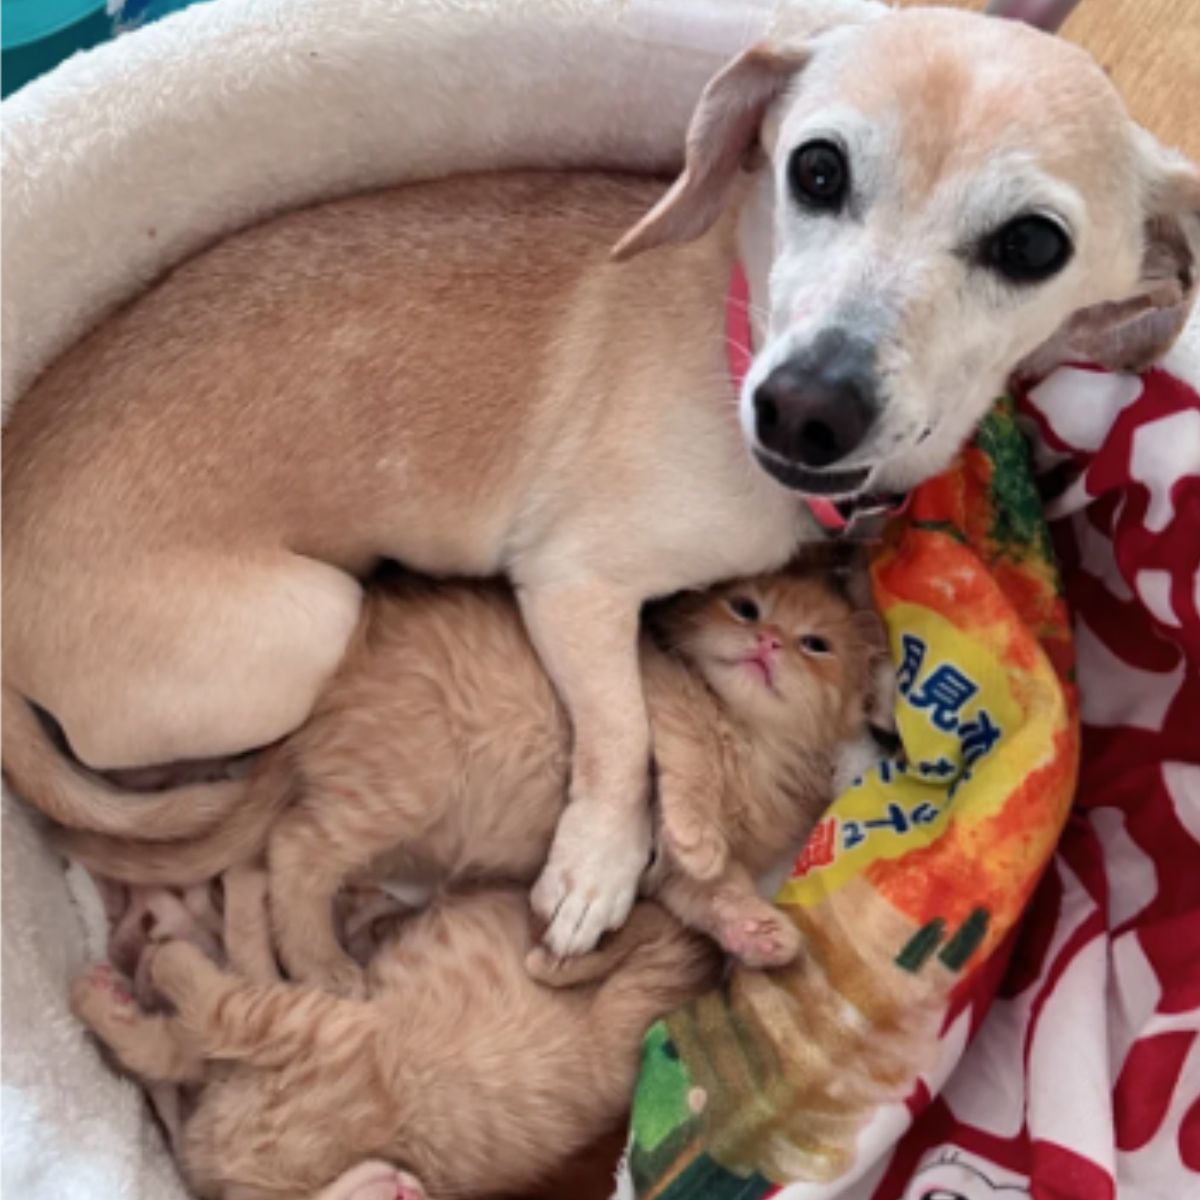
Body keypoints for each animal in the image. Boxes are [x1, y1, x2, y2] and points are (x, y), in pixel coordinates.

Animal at [2, 4, 1200, 950]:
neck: (733, 332)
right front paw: (599, 863)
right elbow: (623, 730)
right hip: (307, 624)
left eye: (1033, 245)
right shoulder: (574, 589)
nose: (802, 408)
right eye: (815, 169)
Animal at [68, 564, 892, 993]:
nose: (769, 641)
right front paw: (696, 830)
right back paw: (323, 965)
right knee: (293, 853)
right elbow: (674, 761)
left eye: (815, 645)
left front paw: (758, 931)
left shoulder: (667, 886)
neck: (750, 741)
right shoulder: (653, 691)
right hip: (402, 785)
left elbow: (711, 896)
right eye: (745, 605)